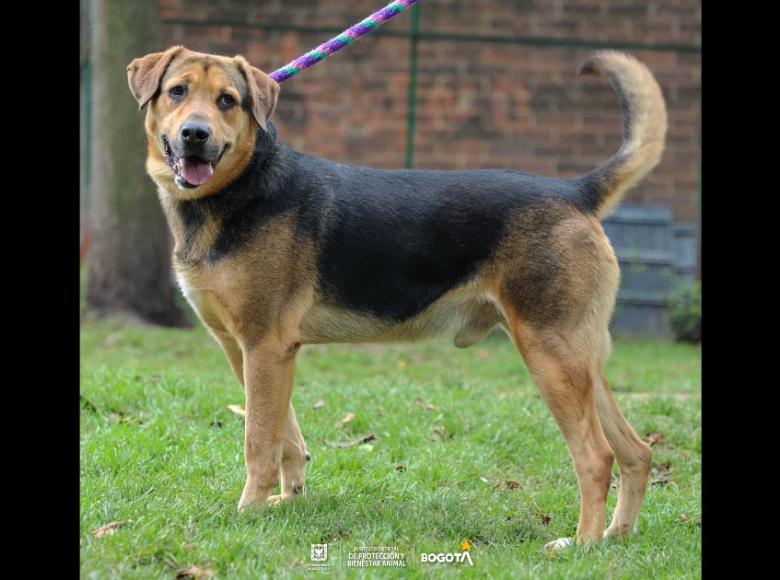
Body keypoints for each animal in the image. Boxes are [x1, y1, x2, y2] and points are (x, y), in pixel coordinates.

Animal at [126, 46, 664, 548]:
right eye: (177, 91)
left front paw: (248, 513)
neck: (243, 187)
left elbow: (258, 444)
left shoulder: (265, 347)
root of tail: (575, 192)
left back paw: (581, 544)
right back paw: (616, 536)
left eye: (227, 101)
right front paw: (286, 503)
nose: (196, 134)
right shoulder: (248, 352)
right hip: (579, 360)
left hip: (550, 356)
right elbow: (288, 439)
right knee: (637, 452)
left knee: (596, 457)